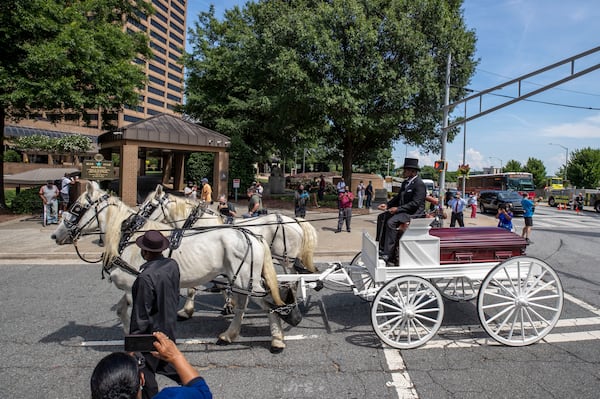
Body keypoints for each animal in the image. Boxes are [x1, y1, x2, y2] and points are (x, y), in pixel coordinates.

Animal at [51, 181, 290, 354]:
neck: (129, 236)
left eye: (76, 208)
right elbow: (122, 310)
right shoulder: (132, 285)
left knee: (269, 301)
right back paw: (229, 335)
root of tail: (253, 236)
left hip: (245, 279)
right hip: (240, 278)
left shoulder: (133, 285)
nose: (55, 235)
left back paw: (277, 339)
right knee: (244, 304)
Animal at [140, 186, 318, 320]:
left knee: (294, 279)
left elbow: (195, 287)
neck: (202, 223)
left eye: (148, 207)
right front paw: (229, 304)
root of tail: (295, 220)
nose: (136, 222)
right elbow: (221, 285)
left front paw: (187, 310)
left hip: (286, 259)